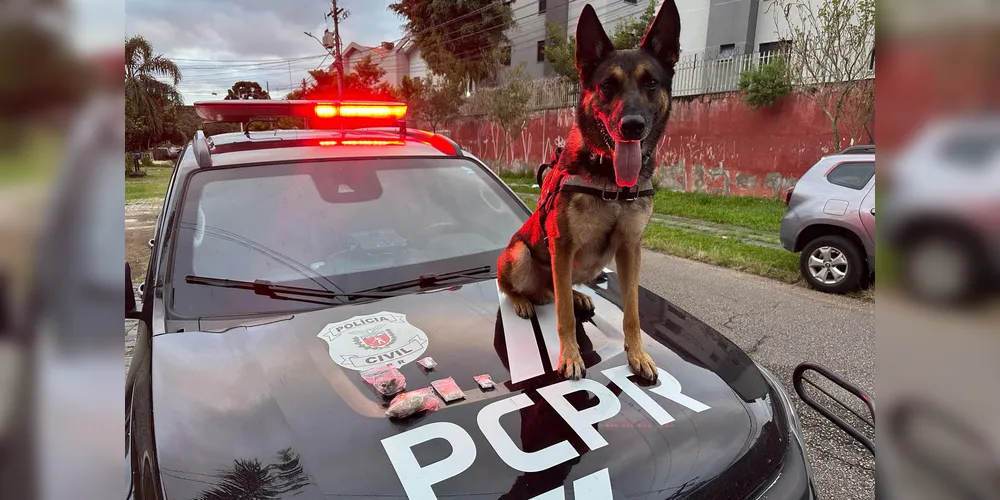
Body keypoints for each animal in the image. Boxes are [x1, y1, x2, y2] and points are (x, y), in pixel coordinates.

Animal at [498, 1, 684, 380]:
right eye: (607, 86)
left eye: (651, 82)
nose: (632, 126)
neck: (610, 180)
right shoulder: (563, 245)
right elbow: (565, 317)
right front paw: (570, 355)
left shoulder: (630, 249)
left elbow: (633, 312)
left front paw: (638, 354)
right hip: (520, 254)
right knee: (518, 288)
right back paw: (524, 300)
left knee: (561, 288)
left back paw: (572, 294)